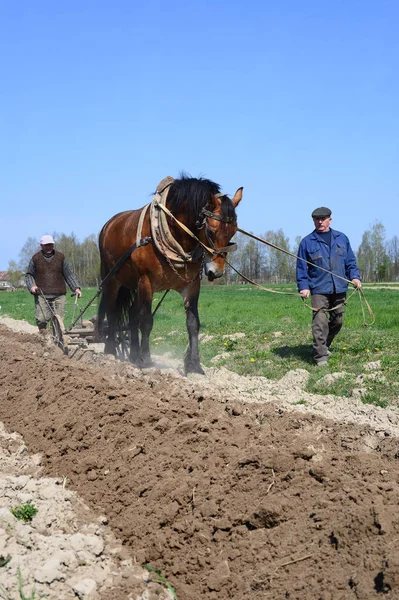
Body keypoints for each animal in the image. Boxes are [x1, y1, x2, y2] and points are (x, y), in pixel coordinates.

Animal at [97, 173, 244, 372]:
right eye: (211, 231)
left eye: (233, 231)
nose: (216, 272)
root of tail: (109, 224)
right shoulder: (146, 282)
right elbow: (146, 321)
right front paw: (148, 360)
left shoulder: (191, 286)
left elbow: (193, 324)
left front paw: (195, 366)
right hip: (113, 279)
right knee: (112, 312)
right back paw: (111, 352)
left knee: (132, 314)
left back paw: (134, 356)